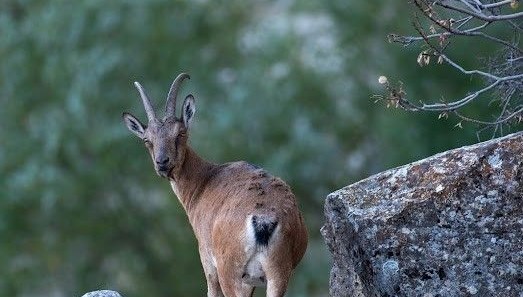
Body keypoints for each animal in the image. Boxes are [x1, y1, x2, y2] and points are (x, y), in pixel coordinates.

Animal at [123, 72, 310, 296]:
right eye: (146, 140)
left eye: (180, 133)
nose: (162, 163)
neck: (203, 180)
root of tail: (263, 220)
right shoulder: (251, 281)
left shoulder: (207, 260)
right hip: (278, 272)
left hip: (229, 269)